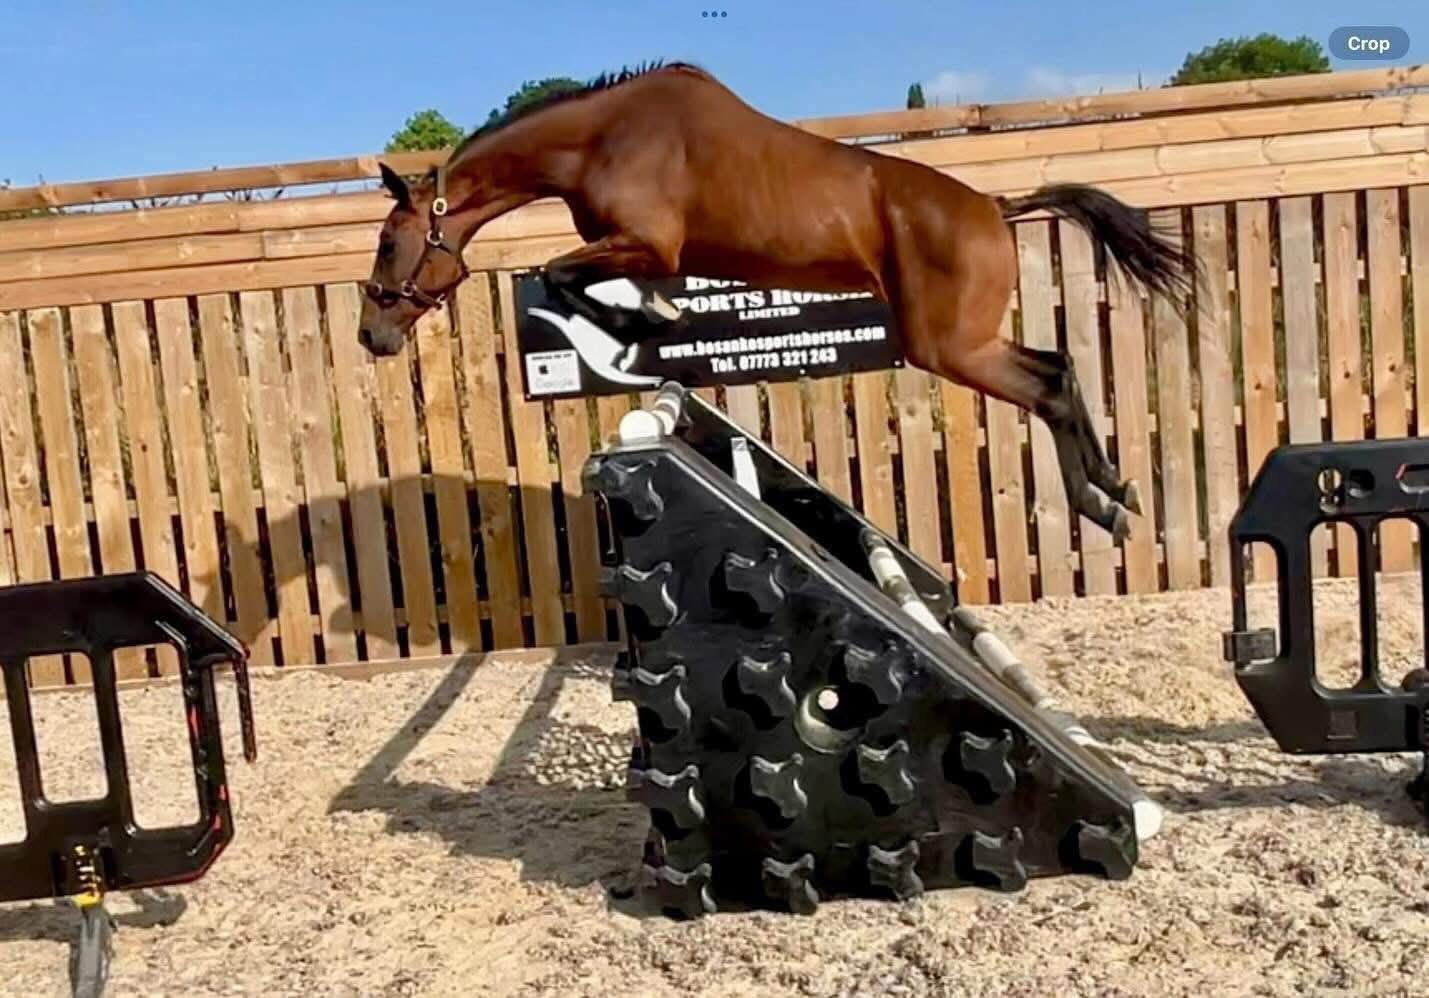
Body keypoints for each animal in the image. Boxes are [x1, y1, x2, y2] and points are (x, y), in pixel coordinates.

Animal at [359, 61, 1194, 540]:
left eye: (390, 241)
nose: (373, 333)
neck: (600, 137)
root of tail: (994, 206)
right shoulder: (647, 254)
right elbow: (580, 282)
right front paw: (654, 323)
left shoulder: (647, 246)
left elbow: (566, 277)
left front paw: (644, 325)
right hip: (965, 341)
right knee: (1057, 368)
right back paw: (1114, 491)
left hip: (948, 345)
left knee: (1047, 385)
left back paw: (1102, 503)